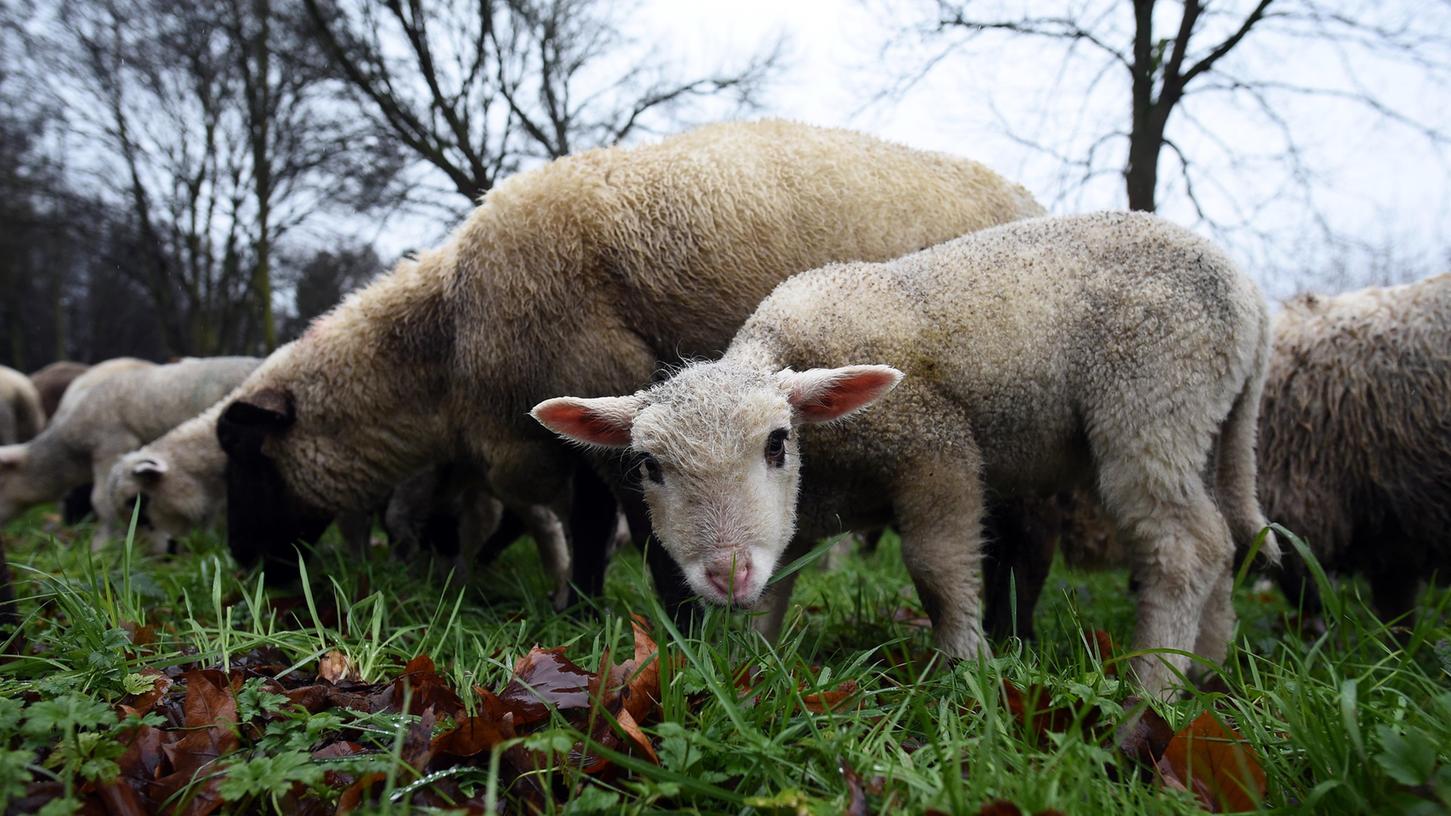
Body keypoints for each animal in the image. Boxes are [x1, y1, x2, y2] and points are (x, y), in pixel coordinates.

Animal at [211, 117, 1044, 598]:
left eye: (245, 457)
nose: (244, 566)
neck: (446, 342)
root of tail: (1024, 193)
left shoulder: (602, 385)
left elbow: (630, 533)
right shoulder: (572, 423)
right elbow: (582, 531)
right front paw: (576, 608)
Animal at [531, 210, 1271, 691]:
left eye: (776, 443)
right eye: (649, 466)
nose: (726, 572)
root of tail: (1249, 297)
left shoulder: (935, 449)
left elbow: (936, 570)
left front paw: (966, 668)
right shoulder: (799, 518)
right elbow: (776, 593)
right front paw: (750, 670)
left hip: (1151, 400)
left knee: (1184, 547)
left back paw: (1151, 694)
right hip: (1204, 426)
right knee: (1221, 543)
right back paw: (1206, 673)